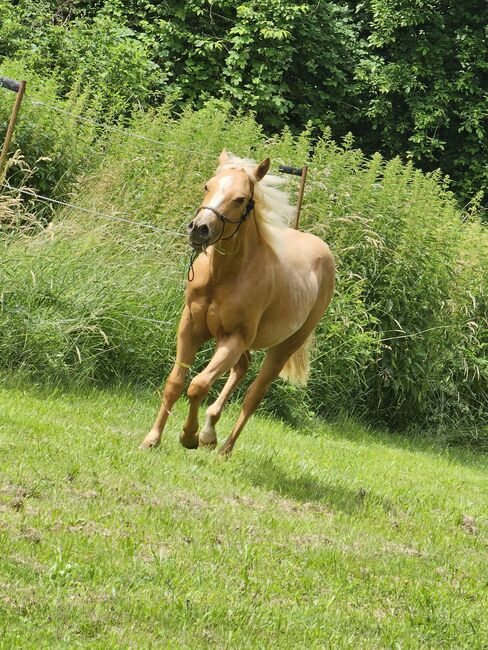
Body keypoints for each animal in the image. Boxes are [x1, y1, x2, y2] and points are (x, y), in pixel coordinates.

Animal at [139, 151, 334, 456]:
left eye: (241, 199)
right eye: (207, 185)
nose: (199, 229)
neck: (224, 277)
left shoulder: (233, 338)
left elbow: (198, 385)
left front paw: (189, 436)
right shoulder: (190, 328)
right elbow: (175, 382)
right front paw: (153, 439)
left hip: (283, 348)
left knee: (253, 395)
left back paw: (223, 449)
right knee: (242, 368)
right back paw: (210, 432)